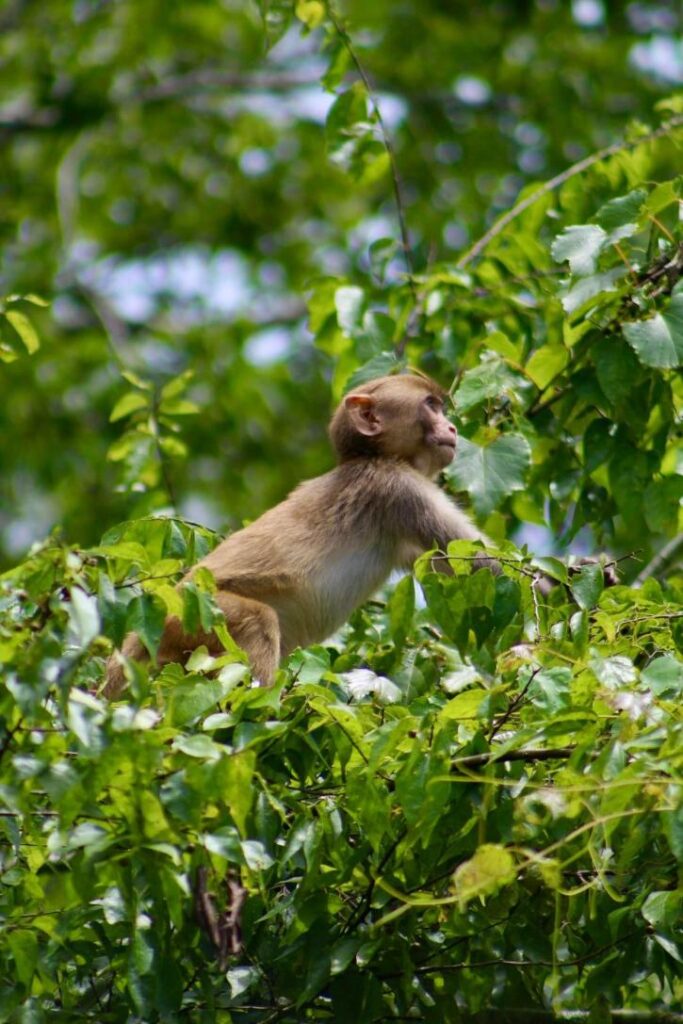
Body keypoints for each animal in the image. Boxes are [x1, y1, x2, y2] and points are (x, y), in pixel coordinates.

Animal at [104, 372, 585, 700]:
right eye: (431, 405)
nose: (451, 429)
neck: (372, 457)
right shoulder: (400, 490)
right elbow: (489, 566)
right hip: (190, 615)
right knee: (257, 620)